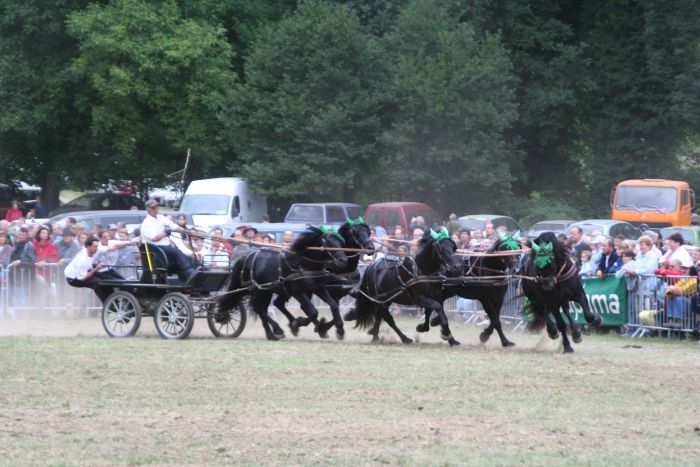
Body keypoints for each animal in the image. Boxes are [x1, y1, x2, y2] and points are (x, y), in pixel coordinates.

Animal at [219, 226, 348, 340]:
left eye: (341, 242)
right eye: (330, 243)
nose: (343, 261)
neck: (303, 264)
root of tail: (246, 257)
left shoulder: (318, 289)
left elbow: (333, 305)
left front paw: (339, 330)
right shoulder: (298, 293)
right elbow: (313, 312)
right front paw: (298, 323)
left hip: (268, 291)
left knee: (268, 307)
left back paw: (272, 333)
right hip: (258, 290)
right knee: (259, 308)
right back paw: (277, 330)